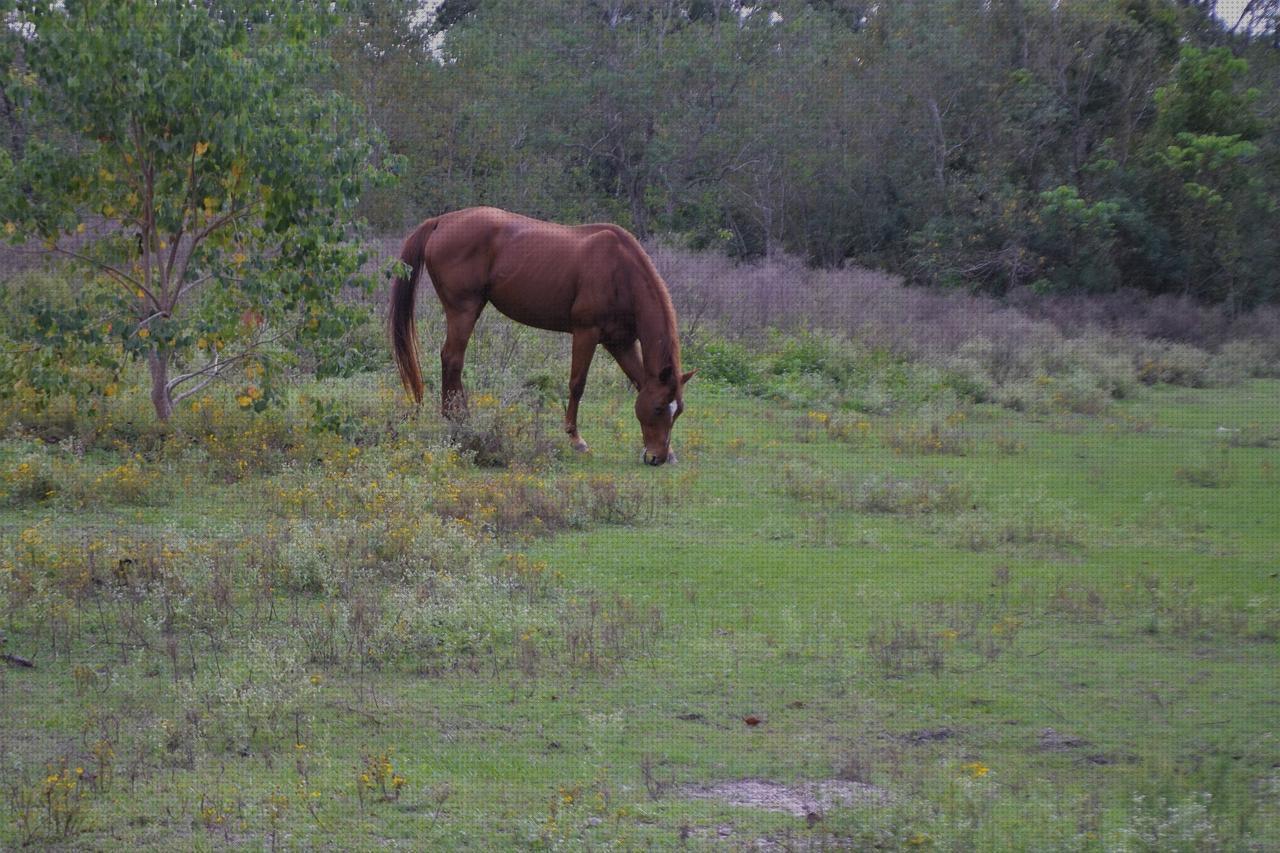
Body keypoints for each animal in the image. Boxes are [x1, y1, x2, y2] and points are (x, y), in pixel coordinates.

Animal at [386, 206, 696, 466]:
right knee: (452, 359)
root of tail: (441, 221)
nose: (657, 457)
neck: (620, 270)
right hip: (464, 309)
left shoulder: (620, 342)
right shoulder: (586, 333)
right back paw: (459, 420)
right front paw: (575, 439)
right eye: (658, 408)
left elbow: (639, 380)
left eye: (678, 410)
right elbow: (577, 384)